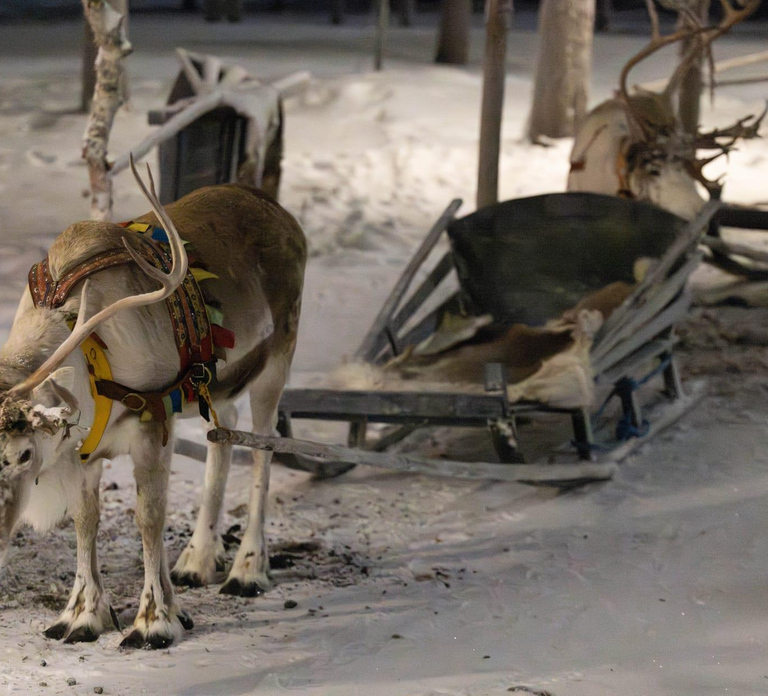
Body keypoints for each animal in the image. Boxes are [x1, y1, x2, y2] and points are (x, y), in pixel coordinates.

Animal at [0, 158, 306, 649]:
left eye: (24, 454)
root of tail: (280, 212)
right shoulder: (83, 447)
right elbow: (86, 521)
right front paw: (83, 615)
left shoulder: (152, 426)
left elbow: (149, 519)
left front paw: (154, 622)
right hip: (215, 389)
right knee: (223, 434)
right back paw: (197, 560)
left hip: (277, 360)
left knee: (262, 450)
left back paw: (247, 570)